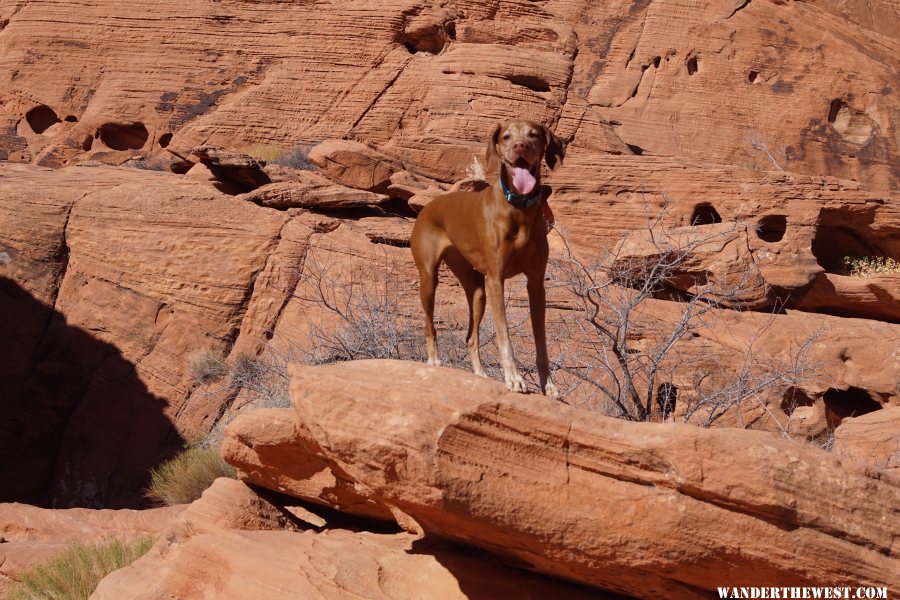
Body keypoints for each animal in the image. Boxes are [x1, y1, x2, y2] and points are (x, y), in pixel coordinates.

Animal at [410, 119, 564, 396]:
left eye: (533, 135)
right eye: (506, 137)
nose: (520, 146)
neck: (519, 208)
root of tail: (429, 206)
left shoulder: (536, 284)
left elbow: (541, 342)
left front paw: (548, 385)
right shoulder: (496, 280)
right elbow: (504, 335)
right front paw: (514, 378)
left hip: (477, 290)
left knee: (471, 337)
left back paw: (480, 375)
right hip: (429, 278)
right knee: (429, 325)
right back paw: (434, 361)